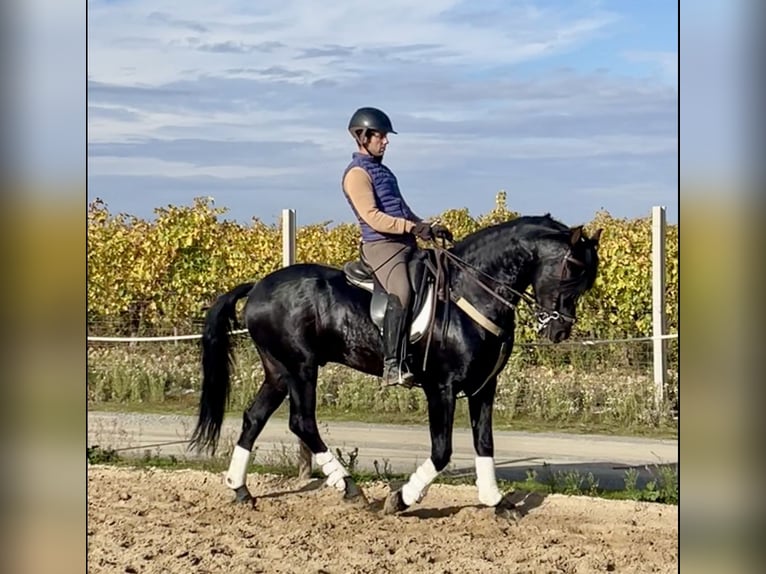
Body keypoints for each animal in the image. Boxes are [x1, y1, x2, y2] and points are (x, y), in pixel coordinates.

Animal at [190, 215, 600, 516]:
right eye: (571, 268)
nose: (560, 330)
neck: (471, 292)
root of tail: (259, 286)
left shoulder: (484, 387)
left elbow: (485, 443)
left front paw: (497, 503)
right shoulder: (442, 388)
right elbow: (442, 451)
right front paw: (400, 499)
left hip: (278, 370)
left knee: (254, 418)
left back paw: (241, 490)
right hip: (301, 367)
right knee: (302, 422)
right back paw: (350, 489)